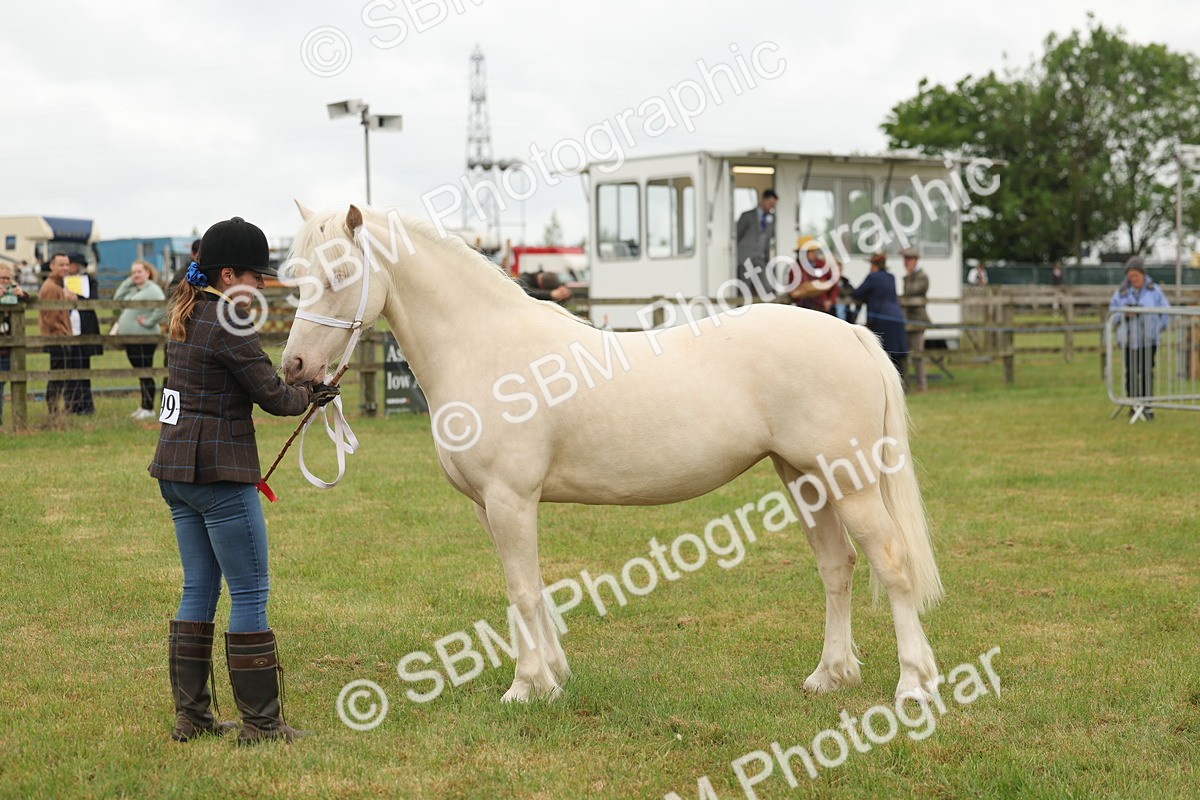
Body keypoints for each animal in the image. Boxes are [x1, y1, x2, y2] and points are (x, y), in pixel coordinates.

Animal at [280, 203, 943, 703]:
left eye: (339, 275)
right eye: (298, 277)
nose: (294, 367)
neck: (487, 348)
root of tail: (851, 331)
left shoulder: (510, 499)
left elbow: (522, 591)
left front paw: (525, 688)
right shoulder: (490, 506)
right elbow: (528, 587)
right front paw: (554, 677)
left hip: (850, 480)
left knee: (890, 562)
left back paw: (913, 685)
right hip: (804, 479)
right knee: (837, 567)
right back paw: (829, 676)